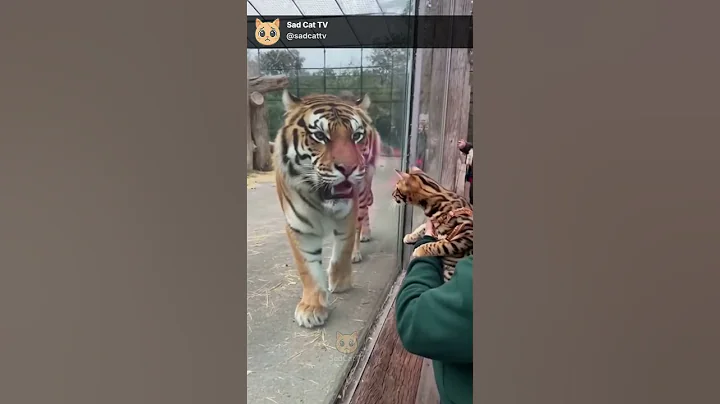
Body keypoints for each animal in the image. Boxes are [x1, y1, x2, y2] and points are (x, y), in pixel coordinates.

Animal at [272, 90, 381, 328]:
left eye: (356, 135)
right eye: (320, 136)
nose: (348, 168)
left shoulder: (348, 215)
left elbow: (343, 250)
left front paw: (340, 283)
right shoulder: (299, 227)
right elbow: (308, 268)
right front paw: (312, 308)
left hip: (363, 191)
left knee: (362, 219)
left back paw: (360, 246)